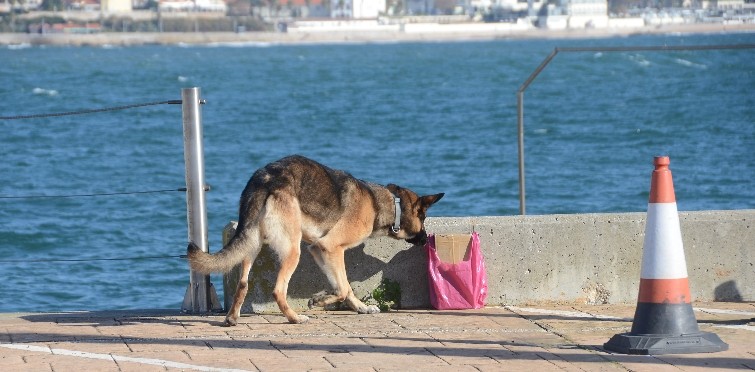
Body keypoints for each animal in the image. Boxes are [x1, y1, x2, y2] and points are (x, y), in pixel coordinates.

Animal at [188, 155, 442, 326]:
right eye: (423, 217)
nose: (425, 239)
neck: (383, 204)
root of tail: (266, 179)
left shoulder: (319, 249)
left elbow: (343, 286)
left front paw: (358, 307)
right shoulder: (331, 248)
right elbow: (344, 287)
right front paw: (319, 301)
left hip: (253, 242)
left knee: (242, 283)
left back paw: (232, 317)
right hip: (292, 250)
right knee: (278, 290)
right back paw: (294, 318)